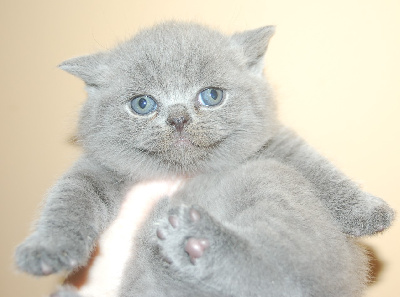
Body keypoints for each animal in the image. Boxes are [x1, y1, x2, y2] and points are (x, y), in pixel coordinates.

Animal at [14, 21, 394, 296]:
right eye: (142, 104)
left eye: (211, 95)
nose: (179, 118)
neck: (188, 173)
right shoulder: (96, 167)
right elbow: (69, 199)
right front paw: (45, 249)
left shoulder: (272, 144)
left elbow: (312, 162)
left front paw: (367, 212)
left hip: (271, 184)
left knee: (284, 271)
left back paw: (196, 240)